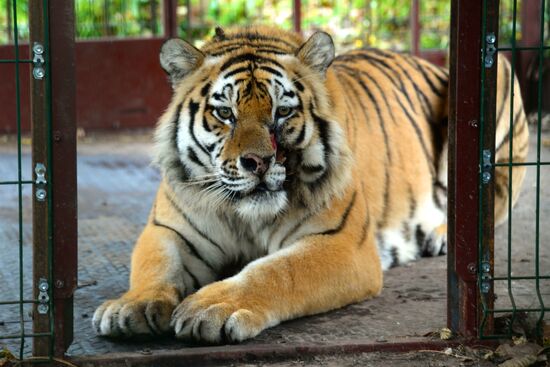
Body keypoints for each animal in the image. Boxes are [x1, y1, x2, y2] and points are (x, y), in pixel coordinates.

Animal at [91, 26, 532, 344]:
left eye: (282, 112)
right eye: (225, 113)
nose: (258, 162)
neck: (244, 217)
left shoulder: (341, 243)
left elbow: (276, 271)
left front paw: (213, 306)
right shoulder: (168, 230)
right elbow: (155, 266)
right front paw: (131, 307)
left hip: (498, 69)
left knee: (489, 198)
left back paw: (441, 235)